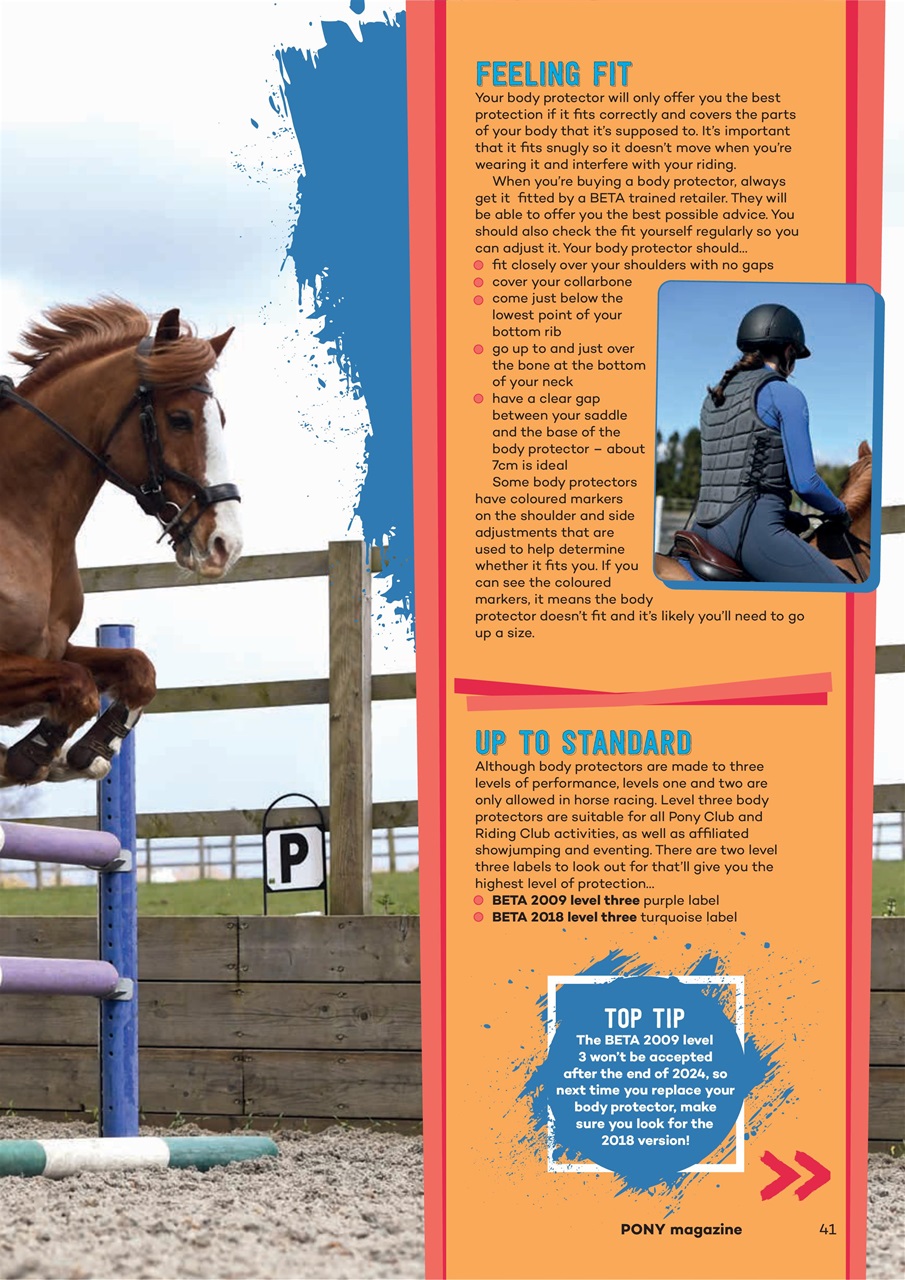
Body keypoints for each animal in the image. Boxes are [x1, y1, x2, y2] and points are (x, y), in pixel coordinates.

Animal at [0, 299, 242, 786]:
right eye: (180, 419)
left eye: (221, 420)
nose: (226, 544)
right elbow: (79, 685)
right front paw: (33, 754)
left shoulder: (55, 649)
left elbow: (135, 667)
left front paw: (88, 750)